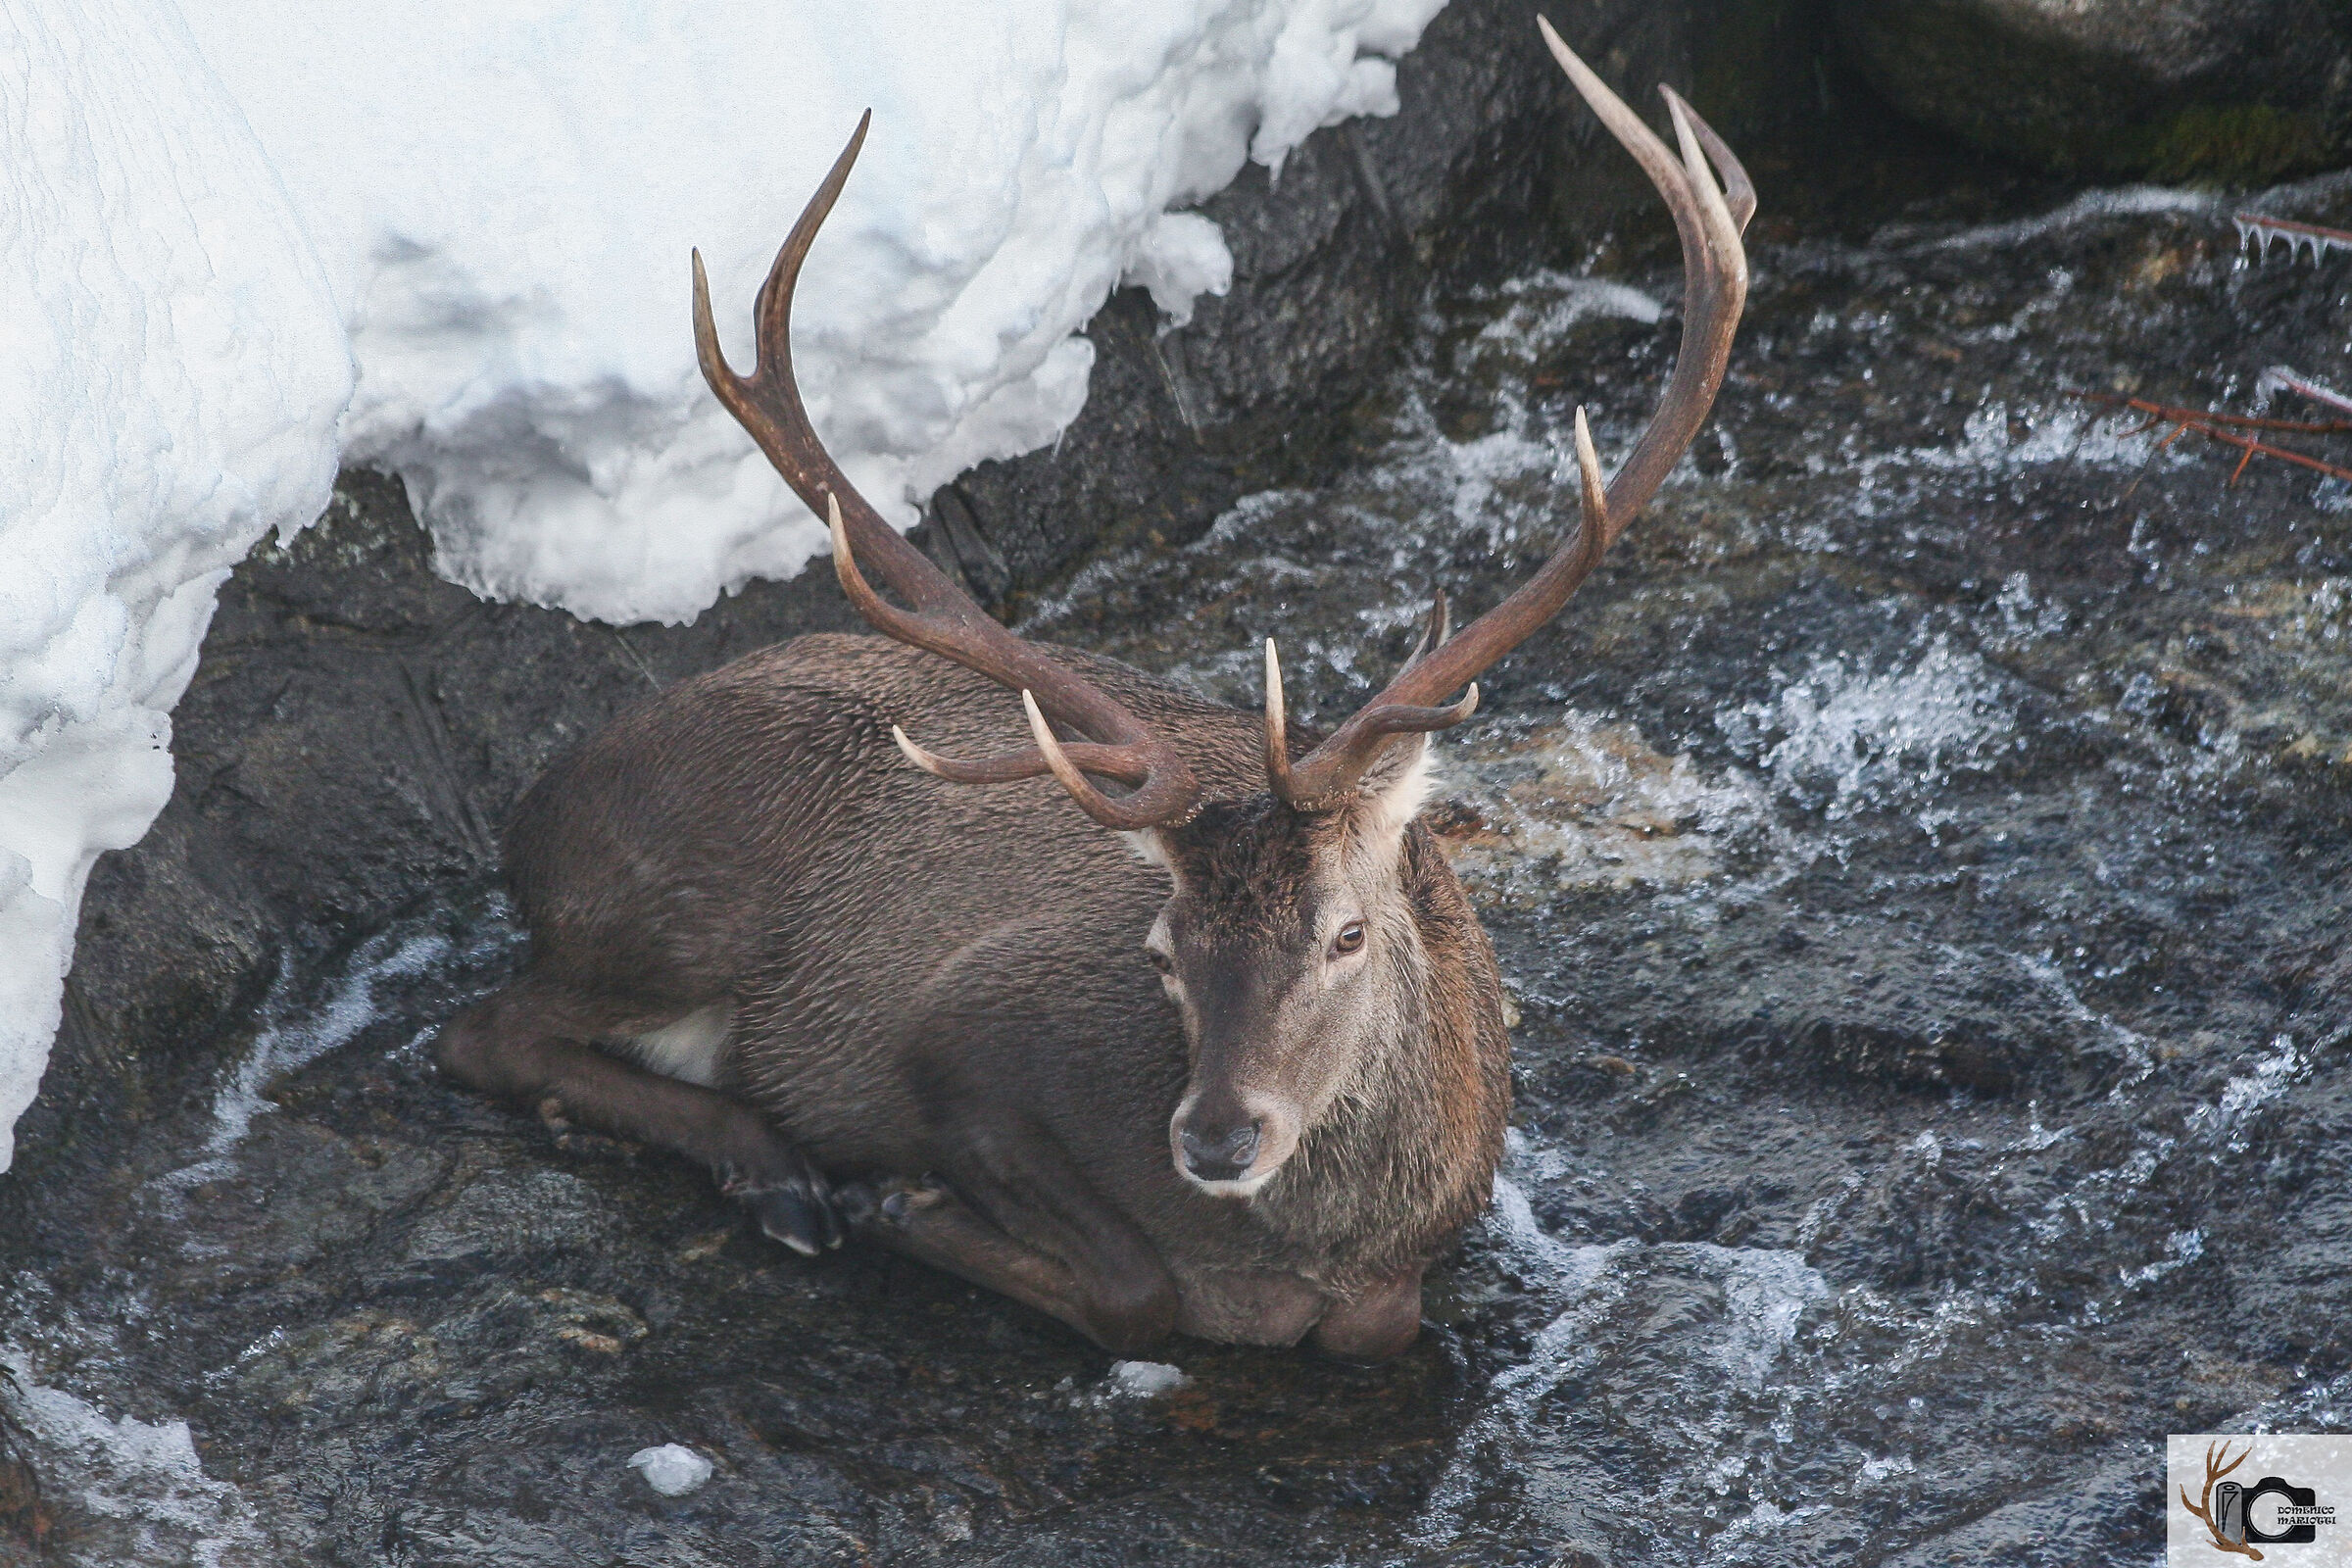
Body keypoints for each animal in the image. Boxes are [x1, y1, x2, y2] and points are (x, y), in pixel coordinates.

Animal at [433, 19, 1751, 1363]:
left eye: (1347, 933)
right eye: (1163, 949)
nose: (1215, 1137)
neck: (1333, 1246)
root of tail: (533, 816)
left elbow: (1352, 1325)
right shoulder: (954, 1035)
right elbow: (1139, 1293)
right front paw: (900, 1201)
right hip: (684, 895)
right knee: (481, 1030)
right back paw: (781, 1176)